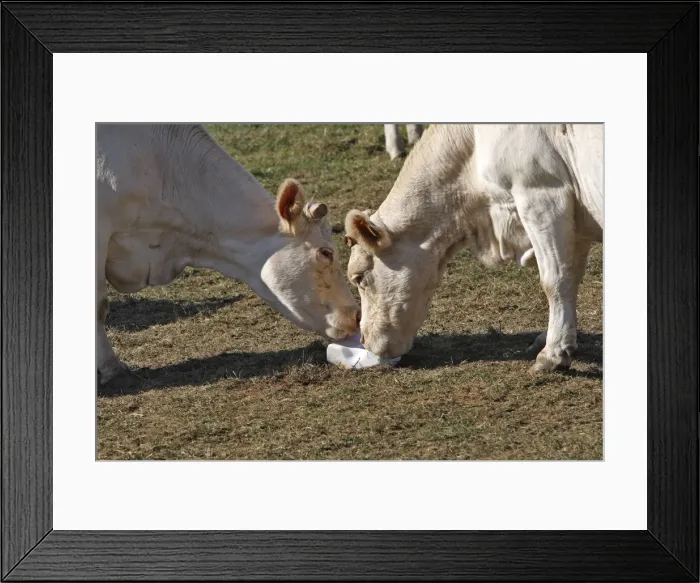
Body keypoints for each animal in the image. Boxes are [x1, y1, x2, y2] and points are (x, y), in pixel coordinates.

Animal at [344, 124, 603, 374]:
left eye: (359, 277)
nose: (364, 340)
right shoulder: (575, 221)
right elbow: (572, 276)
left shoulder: (542, 196)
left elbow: (556, 281)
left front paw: (552, 354)